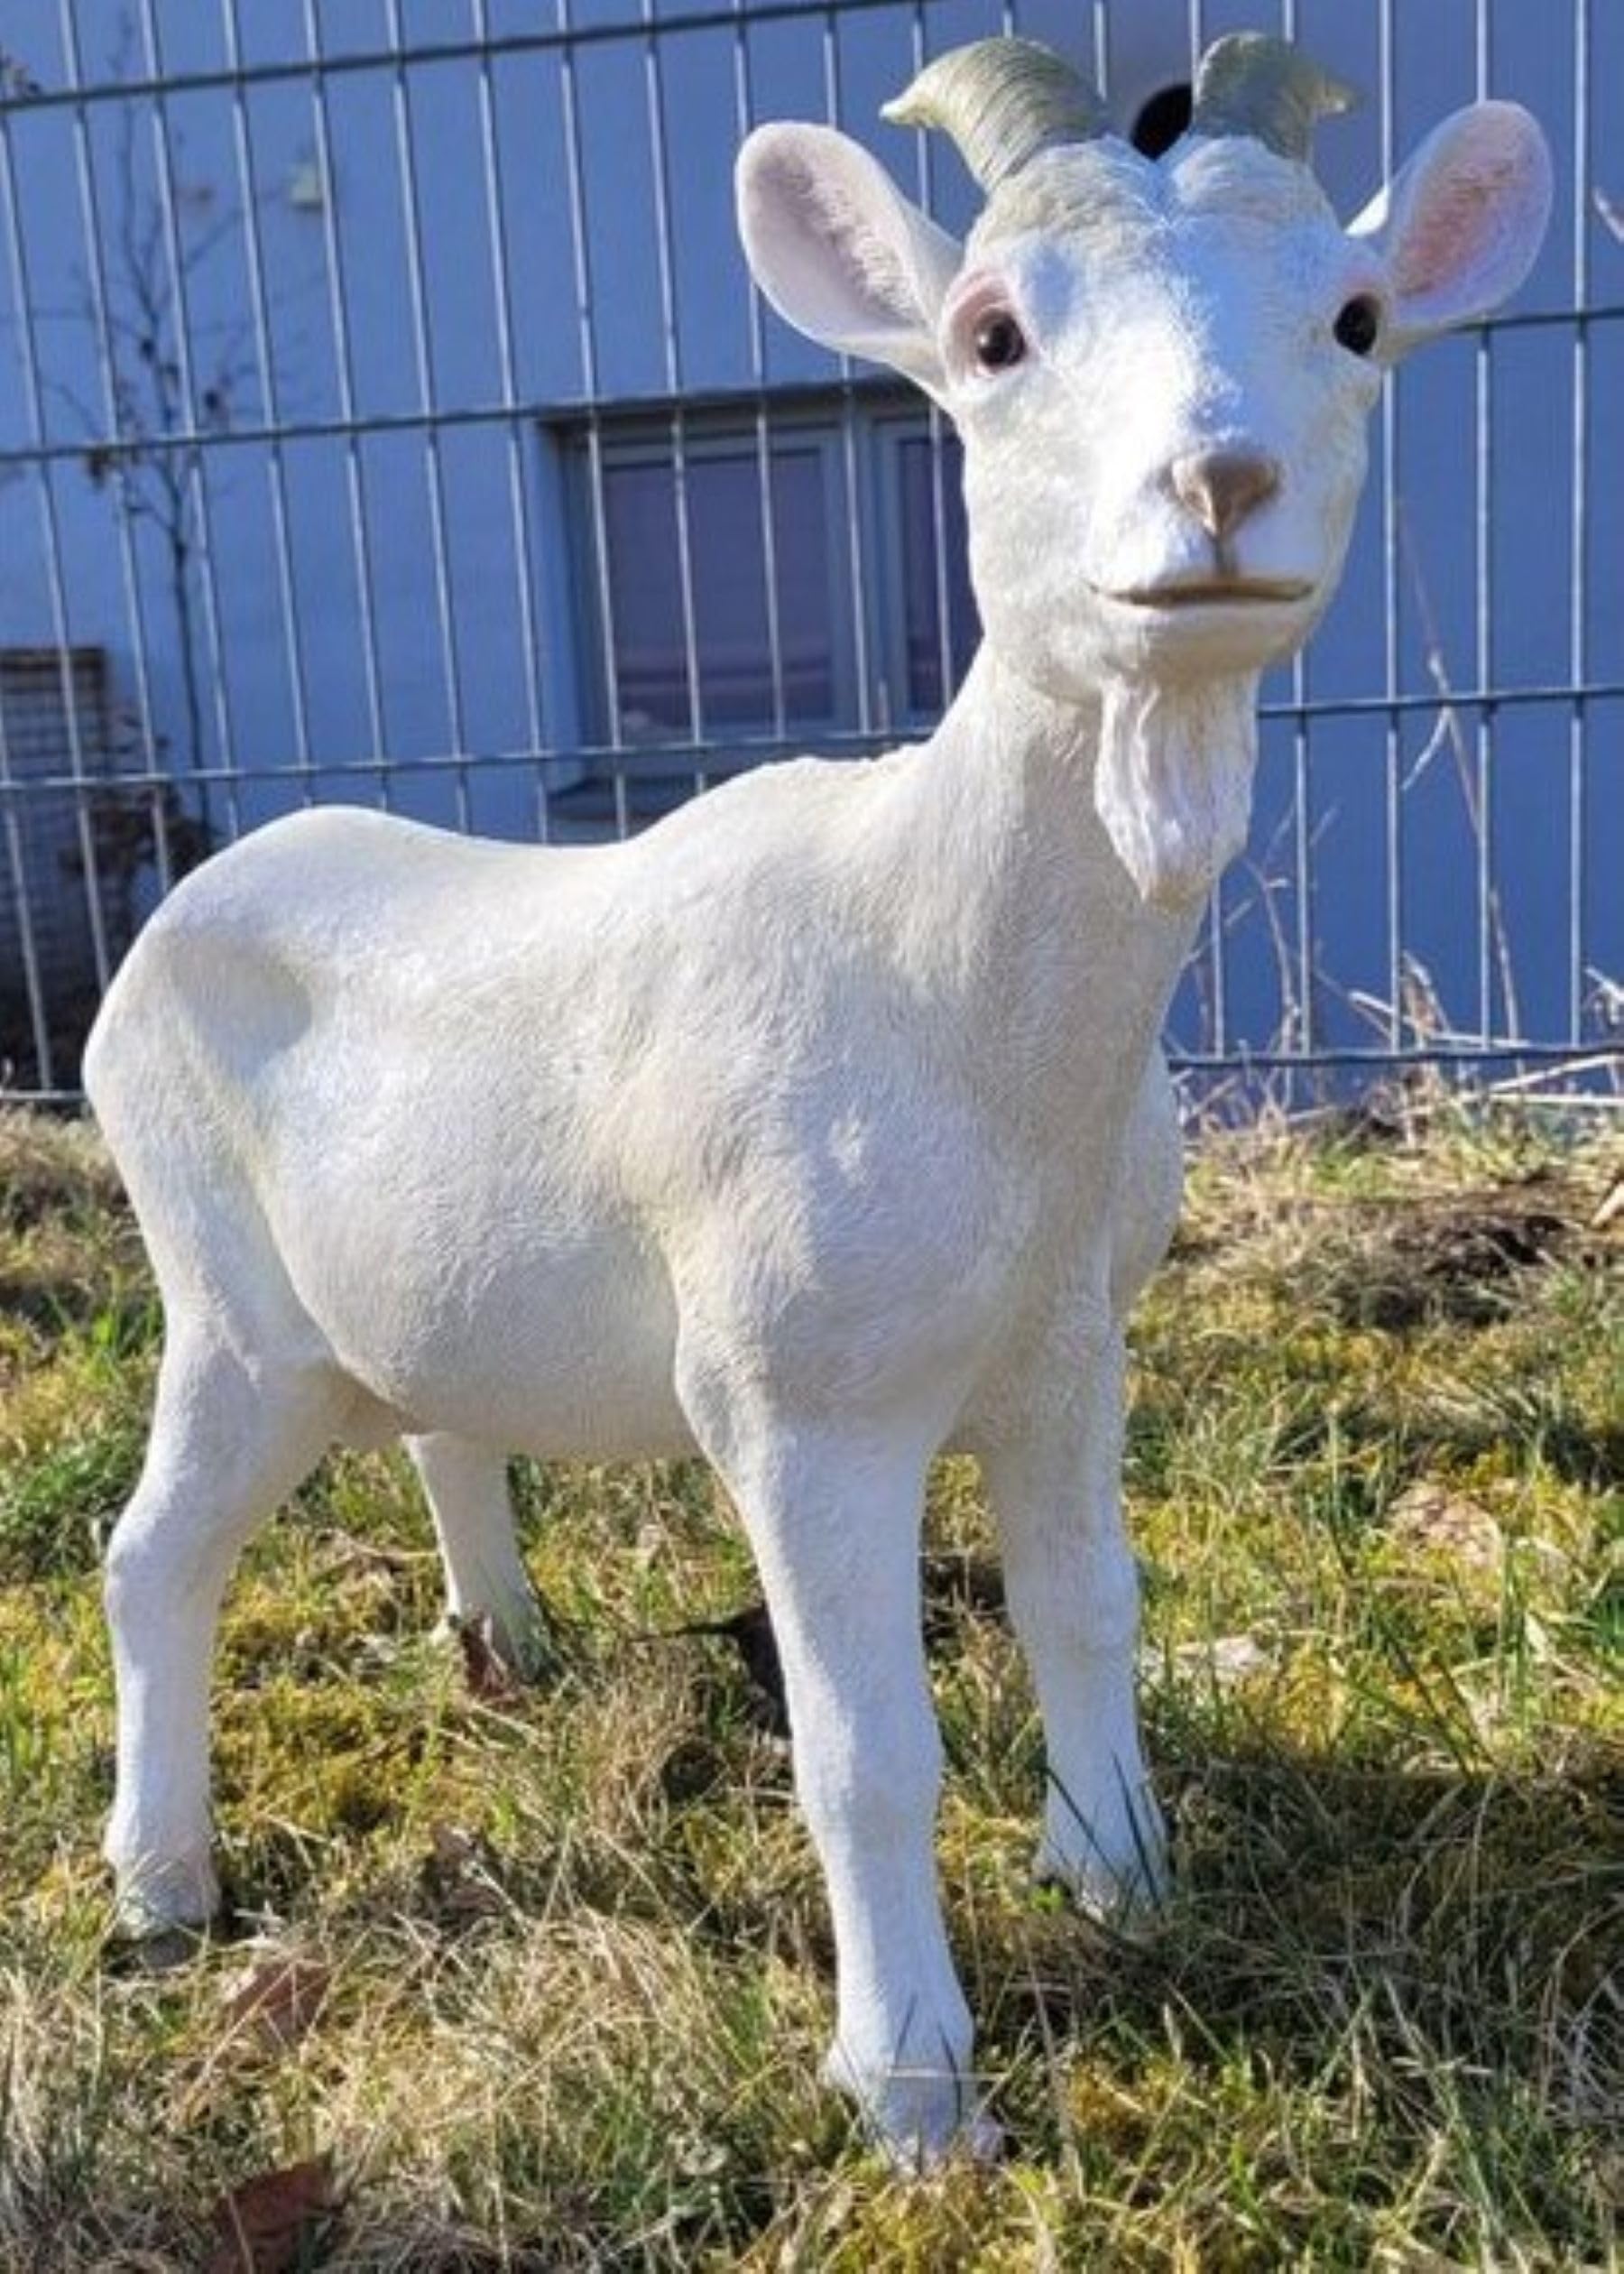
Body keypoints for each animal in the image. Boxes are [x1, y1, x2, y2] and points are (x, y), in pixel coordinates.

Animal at [85, 32, 1549, 2165]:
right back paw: (164, 1885)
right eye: (992, 332)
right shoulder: (801, 1401)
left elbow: (1089, 1611)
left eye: (1357, 321)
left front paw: (1119, 1880)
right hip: (225, 1303)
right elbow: (868, 1746)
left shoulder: (1067, 1345)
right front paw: (918, 2092)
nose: (1219, 487)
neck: (948, 991)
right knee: (153, 1557)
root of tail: (177, 916)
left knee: (440, 1423)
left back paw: (506, 1646)